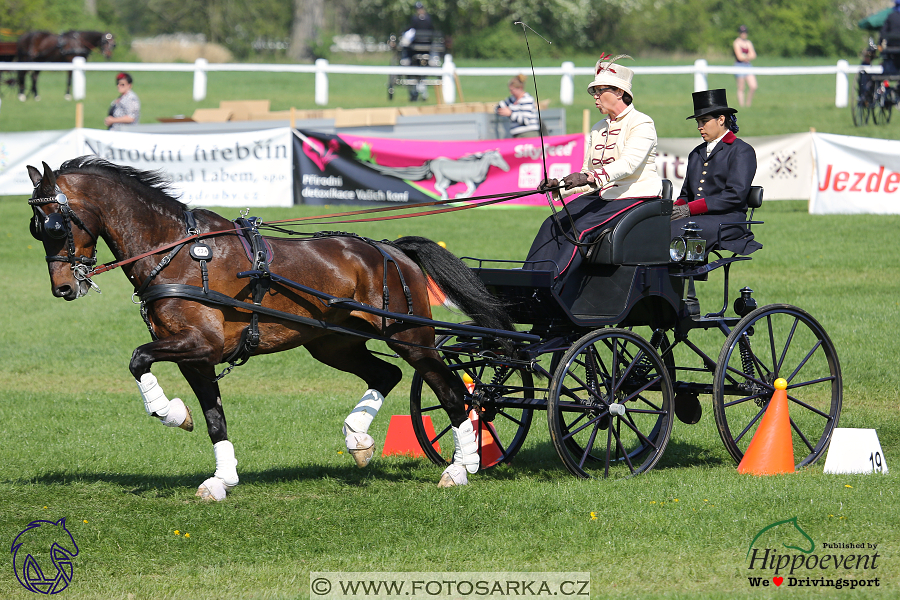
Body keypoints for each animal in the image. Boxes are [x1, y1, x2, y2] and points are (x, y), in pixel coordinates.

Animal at [28, 157, 512, 500]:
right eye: (36, 228)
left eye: (55, 223)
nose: (64, 287)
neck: (177, 254)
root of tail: (391, 250)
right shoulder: (196, 357)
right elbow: (214, 418)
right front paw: (221, 477)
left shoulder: (198, 344)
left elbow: (138, 359)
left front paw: (171, 413)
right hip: (333, 343)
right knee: (386, 374)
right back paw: (358, 438)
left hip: (411, 338)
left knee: (454, 391)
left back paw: (461, 466)